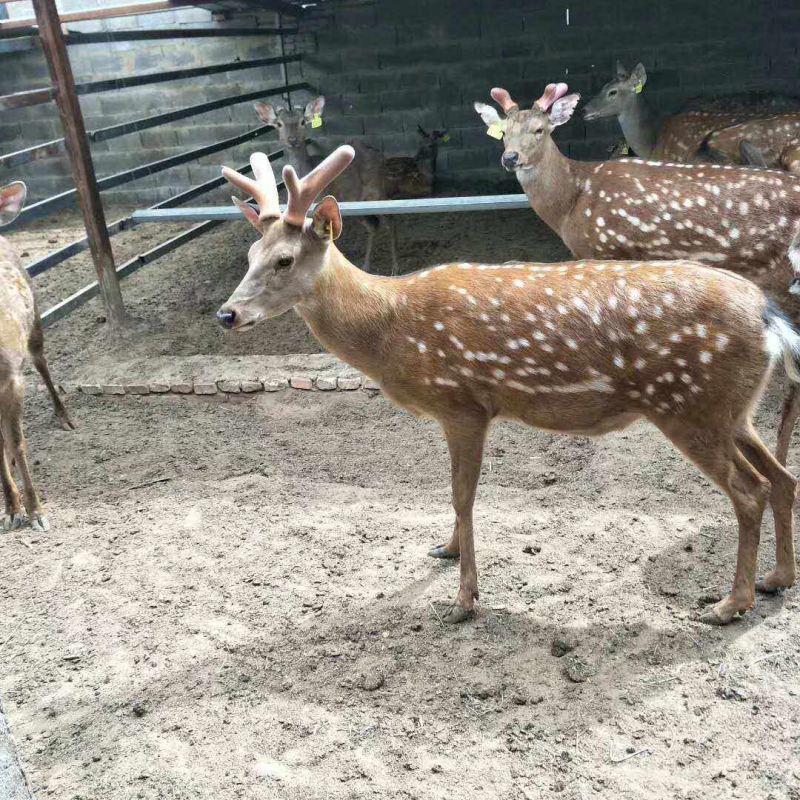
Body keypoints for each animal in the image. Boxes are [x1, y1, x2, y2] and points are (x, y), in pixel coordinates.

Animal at [214, 147, 800, 628]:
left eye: (284, 260)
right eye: (248, 256)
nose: (227, 314)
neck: (390, 330)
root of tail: (770, 318)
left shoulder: (462, 402)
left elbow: (463, 494)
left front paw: (463, 600)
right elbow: (455, 495)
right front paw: (446, 550)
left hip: (689, 405)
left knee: (751, 490)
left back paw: (729, 603)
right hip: (732, 410)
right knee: (783, 477)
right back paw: (777, 579)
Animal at [253, 95, 396, 272]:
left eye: (302, 121)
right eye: (279, 123)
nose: (292, 139)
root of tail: (380, 155)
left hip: (377, 192)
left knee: (390, 221)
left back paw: (395, 267)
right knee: (373, 225)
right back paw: (366, 265)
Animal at [478, 81, 800, 462]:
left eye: (540, 130)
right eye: (503, 133)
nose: (510, 158)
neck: (571, 203)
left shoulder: (607, 251)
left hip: (784, 279)